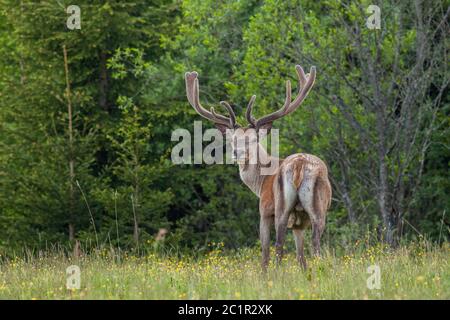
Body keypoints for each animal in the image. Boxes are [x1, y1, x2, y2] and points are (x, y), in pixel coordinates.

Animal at [185, 64, 332, 270]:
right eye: (232, 140)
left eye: (252, 140)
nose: (237, 153)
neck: (261, 182)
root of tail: (299, 165)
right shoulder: (298, 223)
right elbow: (300, 256)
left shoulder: (264, 209)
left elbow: (264, 251)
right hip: (318, 208)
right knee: (315, 245)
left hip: (281, 207)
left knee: (277, 245)